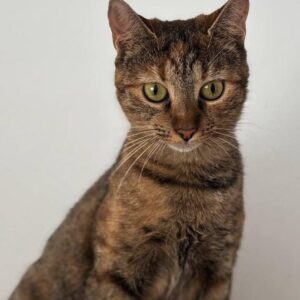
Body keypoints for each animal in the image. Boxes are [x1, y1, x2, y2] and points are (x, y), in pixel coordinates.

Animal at [9, 0, 250, 298]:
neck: (187, 184)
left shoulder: (218, 270)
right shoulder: (115, 272)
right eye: (155, 91)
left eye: (213, 89)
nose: (186, 131)